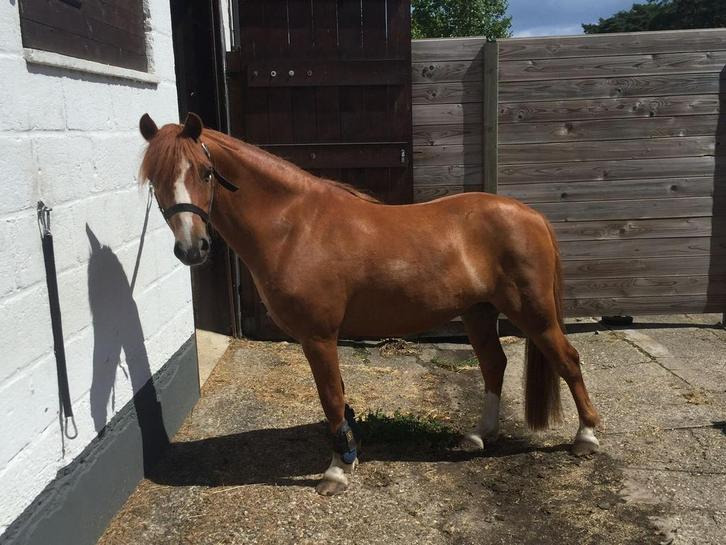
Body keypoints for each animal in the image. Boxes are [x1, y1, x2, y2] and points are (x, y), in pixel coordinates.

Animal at [138, 112, 600, 496]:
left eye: (205, 173)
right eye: (154, 181)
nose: (192, 249)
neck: (294, 227)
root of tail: (531, 215)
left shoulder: (318, 337)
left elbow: (330, 398)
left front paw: (336, 472)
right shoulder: (323, 338)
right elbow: (340, 398)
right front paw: (350, 455)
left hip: (533, 313)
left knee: (568, 360)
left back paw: (587, 437)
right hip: (479, 312)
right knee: (494, 365)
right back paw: (478, 436)